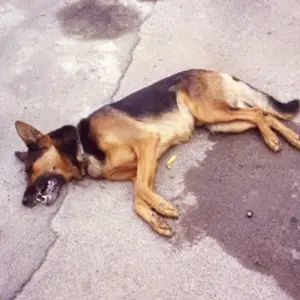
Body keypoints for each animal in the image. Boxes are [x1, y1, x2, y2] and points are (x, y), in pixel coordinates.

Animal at [14, 69, 300, 237]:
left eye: (30, 170)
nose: (24, 202)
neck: (83, 145)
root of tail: (212, 70)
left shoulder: (147, 143)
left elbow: (140, 191)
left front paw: (163, 207)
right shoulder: (144, 165)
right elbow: (138, 198)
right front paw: (155, 218)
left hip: (212, 113)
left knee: (257, 112)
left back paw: (272, 139)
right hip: (220, 123)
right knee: (264, 116)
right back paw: (289, 138)